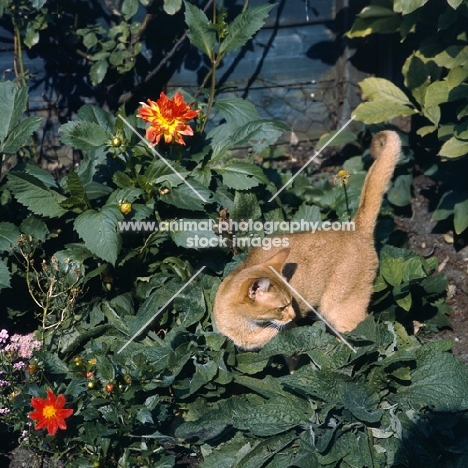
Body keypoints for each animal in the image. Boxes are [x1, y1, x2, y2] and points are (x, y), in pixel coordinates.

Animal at [214, 130, 400, 350]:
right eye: (281, 307)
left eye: (291, 300)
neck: (244, 327)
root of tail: (354, 228)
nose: (295, 315)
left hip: (341, 312)